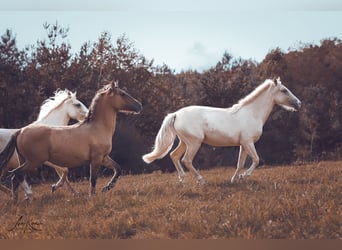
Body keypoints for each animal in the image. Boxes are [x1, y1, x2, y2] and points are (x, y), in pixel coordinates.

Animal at [0, 81, 142, 202]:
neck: (97, 128)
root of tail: (20, 131)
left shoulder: (103, 157)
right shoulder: (96, 158)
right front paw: (92, 196)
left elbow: (118, 169)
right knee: (16, 175)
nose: (139, 105)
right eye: (122, 94)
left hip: (24, 160)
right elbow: (93, 178)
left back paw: (19, 199)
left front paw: (106, 188)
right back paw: (19, 200)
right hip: (34, 161)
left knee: (17, 177)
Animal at [143, 77, 300, 185]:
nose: (298, 103)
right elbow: (256, 160)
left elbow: (240, 164)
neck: (252, 113)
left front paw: (235, 180)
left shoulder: (243, 144)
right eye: (284, 90)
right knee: (186, 160)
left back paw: (182, 180)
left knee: (174, 156)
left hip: (184, 142)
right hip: (194, 143)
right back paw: (201, 181)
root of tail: (176, 114)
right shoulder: (248, 142)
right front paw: (244, 176)